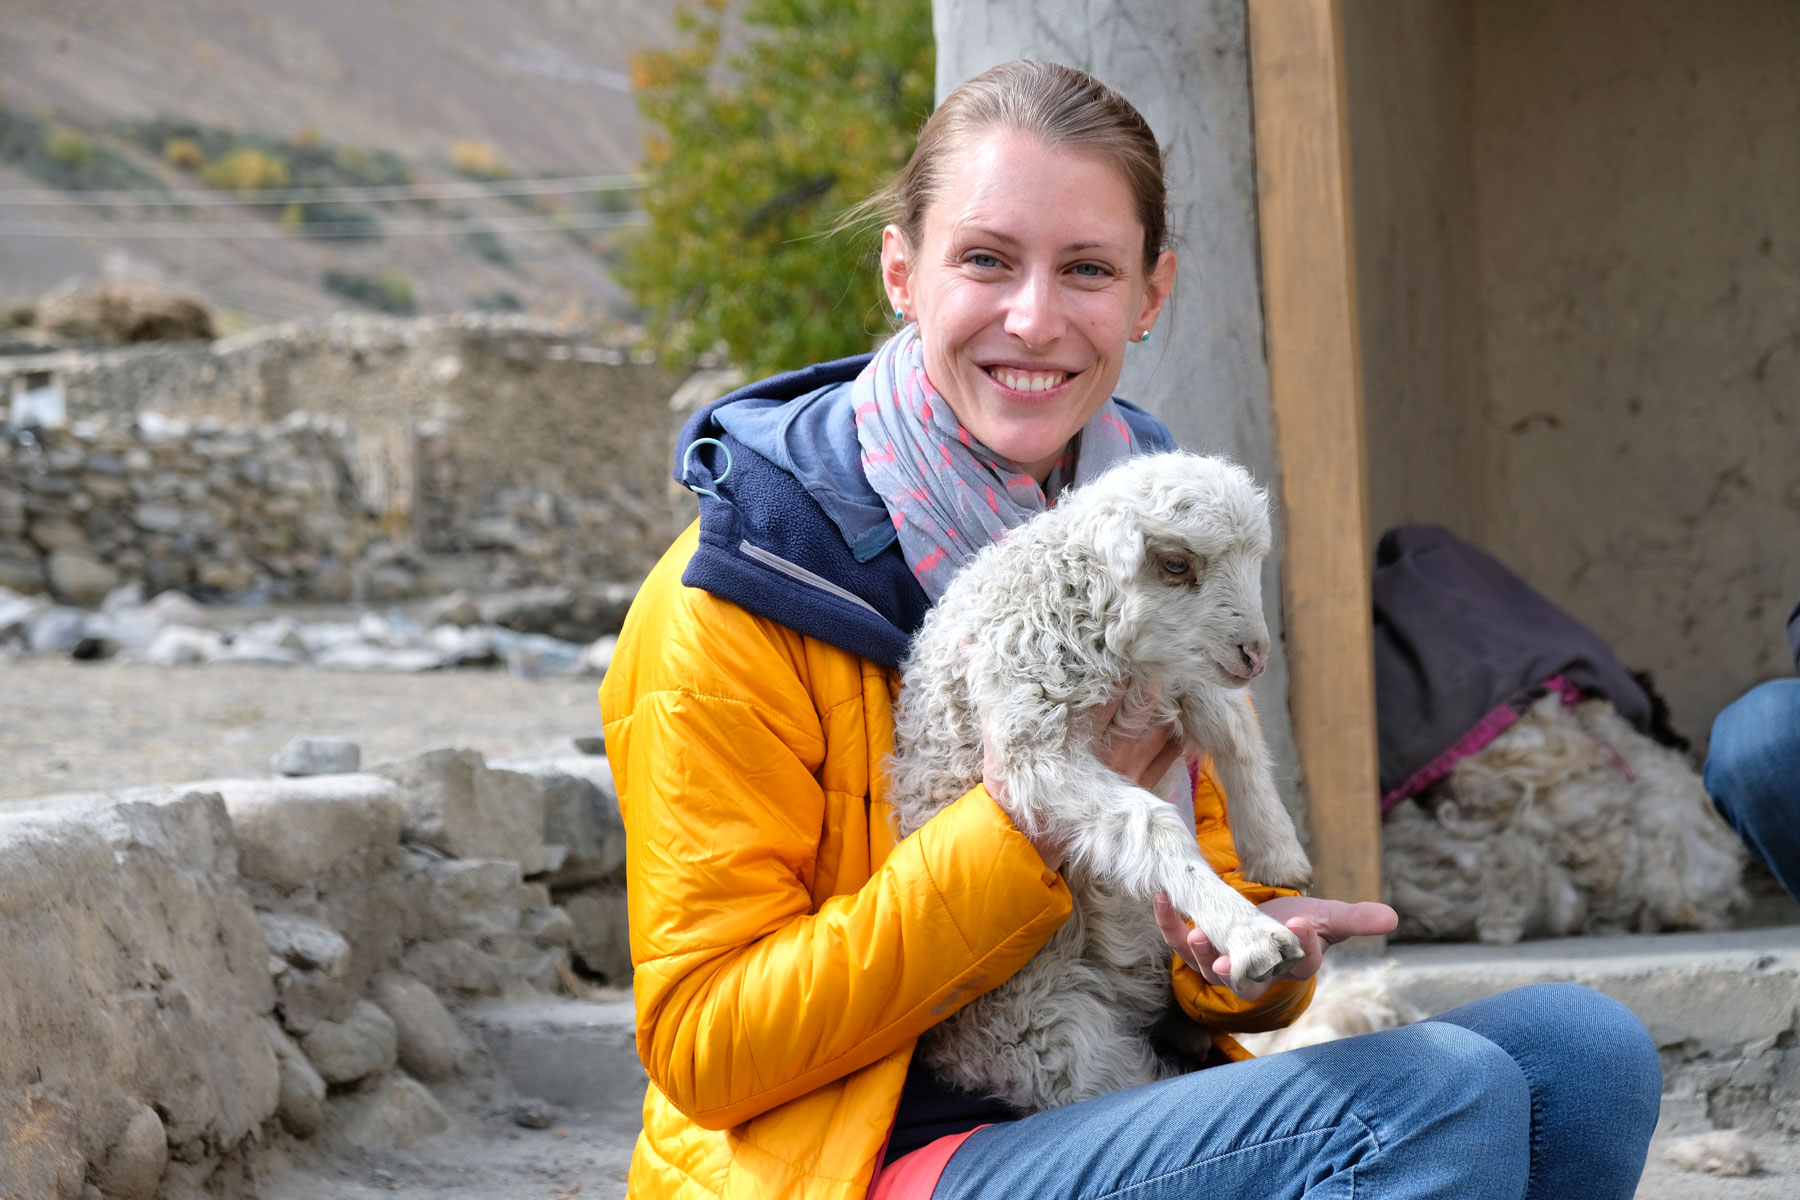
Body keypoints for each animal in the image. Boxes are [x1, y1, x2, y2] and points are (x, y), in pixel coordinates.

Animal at [892, 453, 1317, 1115]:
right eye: (1177, 565)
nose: (1256, 655)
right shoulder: (1031, 746)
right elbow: (1150, 820)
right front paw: (1250, 933)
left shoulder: (1169, 675)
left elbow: (1232, 726)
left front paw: (1276, 852)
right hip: (1056, 1038)